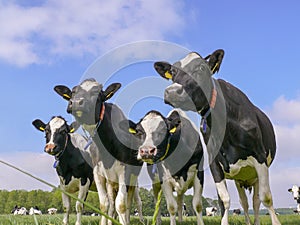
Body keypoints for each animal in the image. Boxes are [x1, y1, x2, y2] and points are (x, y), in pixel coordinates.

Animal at [54, 79, 144, 225]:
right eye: (73, 92)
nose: (76, 102)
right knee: (112, 203)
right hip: (111, 181)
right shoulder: (98, 173)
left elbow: (121, 204)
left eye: (97, 92)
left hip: (133, 179)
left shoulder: (124, 172)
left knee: (132, 202)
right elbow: (104, 204)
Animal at [155, 49, 282, 225]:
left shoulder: (260, 158)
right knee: (244, 202)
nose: (172, 92)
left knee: (256, 201)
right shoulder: (214, 162)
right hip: (239, 177)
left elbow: (266, 198)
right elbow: (224, 200)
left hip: (254, 174)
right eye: (173, 71)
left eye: (201, 68)